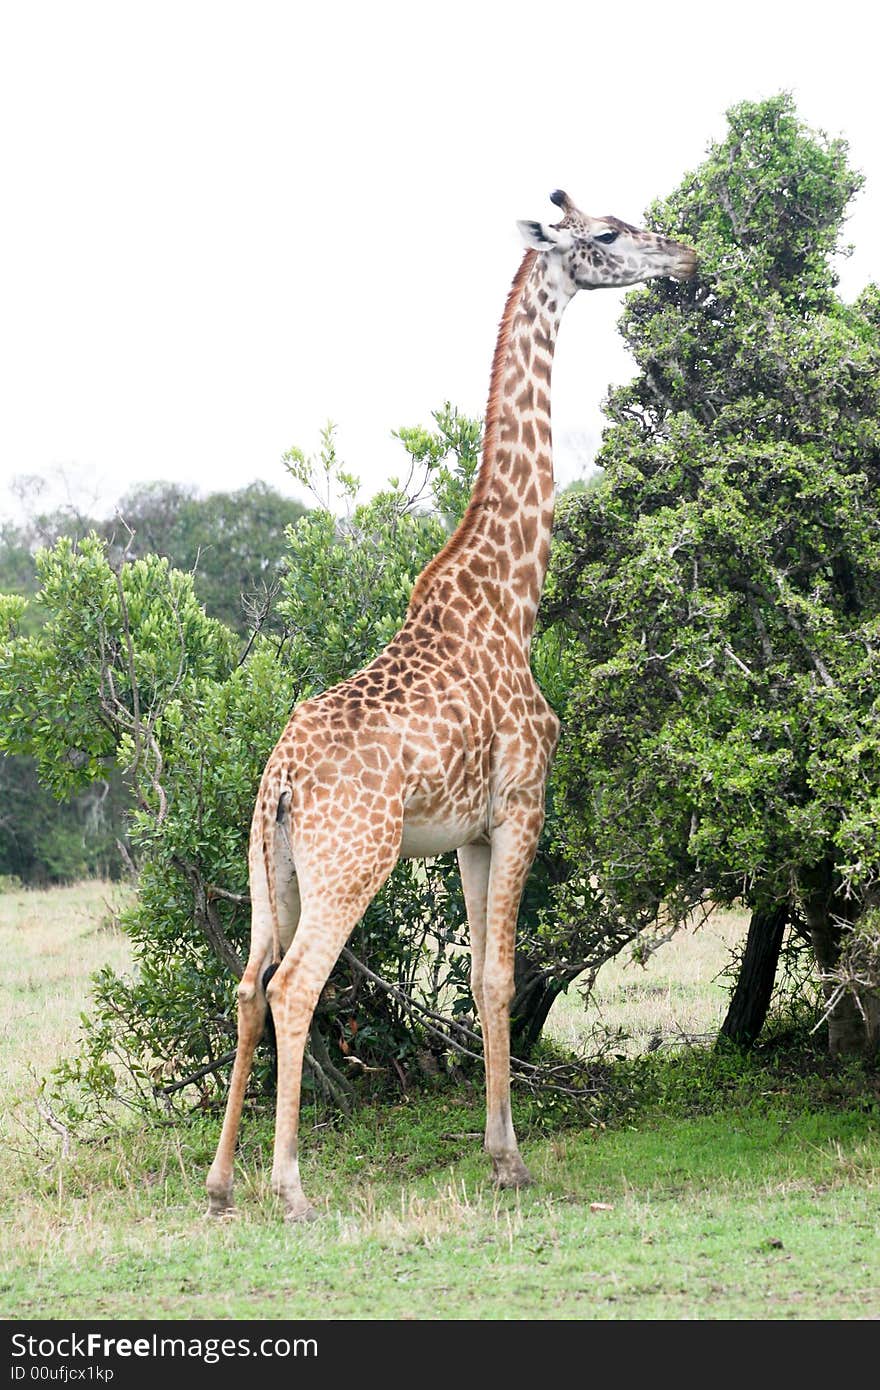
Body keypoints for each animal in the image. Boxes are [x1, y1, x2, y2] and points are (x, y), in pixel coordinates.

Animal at [205, 187, 692, 1217]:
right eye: (607, 235)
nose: (682, 256)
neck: (512, 594)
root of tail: (280, 779)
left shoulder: (467, 830)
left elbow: (478, 972)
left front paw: (497, 1149)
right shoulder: (521, 804)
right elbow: (505, 977)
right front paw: (511, 1160)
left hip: (275, 866)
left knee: (248, 982)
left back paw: (223, 1185)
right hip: (354, 860)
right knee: (296, 987)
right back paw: (290, 1187)